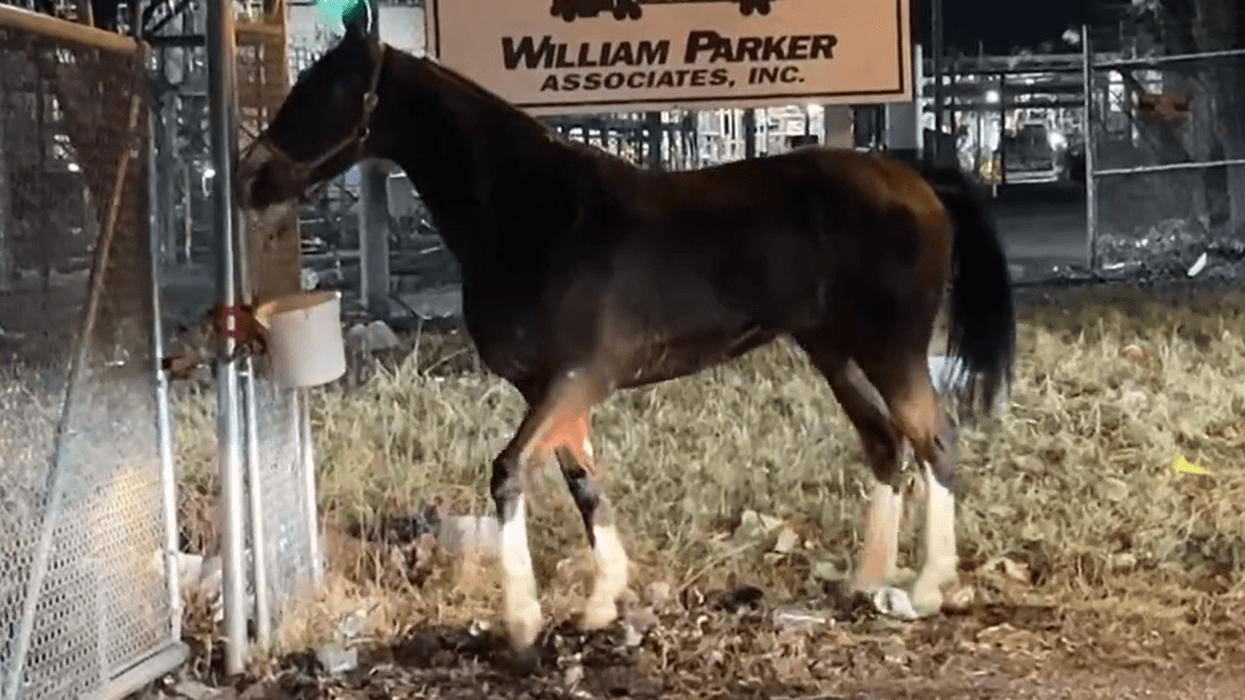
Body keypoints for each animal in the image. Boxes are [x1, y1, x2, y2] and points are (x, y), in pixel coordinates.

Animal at [235, 21, 1016, 653]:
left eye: (331, 89)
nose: (249, 179)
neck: (542, 219)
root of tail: (915, 179)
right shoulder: (552, 389)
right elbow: (585, 485)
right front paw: (602, 606)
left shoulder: (577, 378)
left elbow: (509, 473)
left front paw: (523, 623)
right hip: (830, 346)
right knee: (886, 446)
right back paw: (865, 582)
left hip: (893, 347)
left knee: (934, 442)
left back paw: (924, 590)